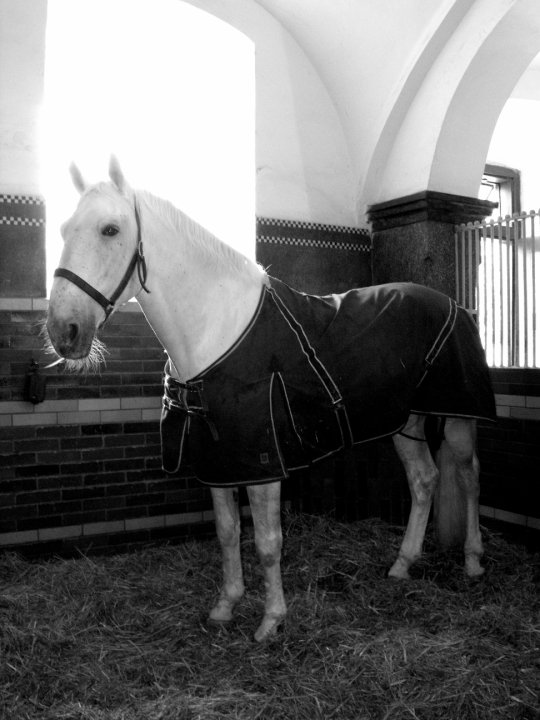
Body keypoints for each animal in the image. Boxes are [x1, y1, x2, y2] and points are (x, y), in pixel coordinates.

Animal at [45, 157, 496, 642]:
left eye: (110, 229)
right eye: (63, 229)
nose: (63, 331)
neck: (217, 331)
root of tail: (457, 306)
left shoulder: (262, 463)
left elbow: (266, 542)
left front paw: (271, 621)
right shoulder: (220, 460)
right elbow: (227, 534)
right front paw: (226, 606)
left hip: (459, 416)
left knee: (469, 476)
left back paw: (473, 561)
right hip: (405, 422)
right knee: (424, 479)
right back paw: (402, 564)